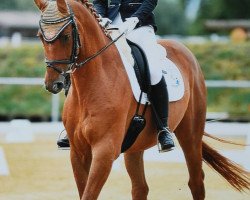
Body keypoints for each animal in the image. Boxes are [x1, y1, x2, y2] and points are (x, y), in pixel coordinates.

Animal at [34, 0, 249, 200]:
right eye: (40, 36)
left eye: (65, 36)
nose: (54, 83)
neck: (94, 83)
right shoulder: (78, 153)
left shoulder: (104, 152)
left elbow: (89, 194)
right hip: (134, 147)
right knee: (140, 188)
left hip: (191, 135)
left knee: (196, 181)